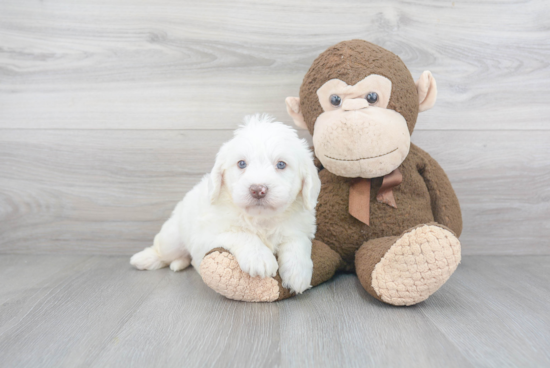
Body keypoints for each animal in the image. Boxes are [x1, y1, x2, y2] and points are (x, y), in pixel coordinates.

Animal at [131, 113, 322, 294]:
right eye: (241, 164)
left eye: (281, 164)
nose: (258, 189)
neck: (261, 219)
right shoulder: (206, 234)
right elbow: (240, 233)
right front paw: (259, 257)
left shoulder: (299, 227)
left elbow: (298, 242)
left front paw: (298, 273)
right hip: (172, 238)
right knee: (163, 251)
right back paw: (144, 259)